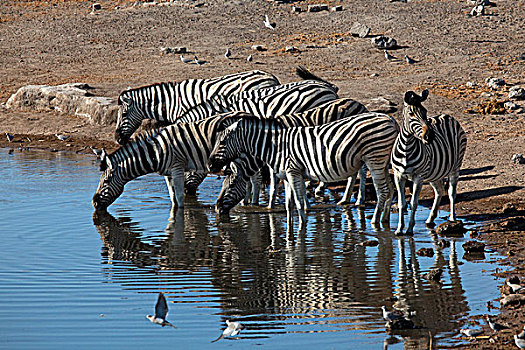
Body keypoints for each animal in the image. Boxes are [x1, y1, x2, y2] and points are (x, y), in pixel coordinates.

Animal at [92, 113, 248, 211]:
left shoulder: (177, 169)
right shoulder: (168, 174)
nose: (94, 203)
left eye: (106, 182)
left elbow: (179, 198)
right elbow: (173, 199)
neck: (155, 152)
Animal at [207, 113, 396, 232]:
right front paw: (290, 230)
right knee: (390, 190)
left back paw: (375, 221)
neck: (274, 146)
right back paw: (385, 220)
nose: (209, 165)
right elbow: (289, 205)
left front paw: (302, 227)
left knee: (382, 191)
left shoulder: (293, 172)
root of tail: (390, 119)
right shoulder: (287, 176)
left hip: (374, 158)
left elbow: (298, 202)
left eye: (222, 142)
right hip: (383, 162)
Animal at [211, 97, 370, 215]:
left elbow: (274, 186)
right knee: (353, 172)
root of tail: (358, 103)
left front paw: (270, 207)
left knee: (362, 171)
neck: (268, 141)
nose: (217, 209)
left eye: (231, 185)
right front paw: (305, 204)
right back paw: (345, 198)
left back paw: (359, 200)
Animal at [388, 89, 466, 235]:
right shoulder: (398, 175)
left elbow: (414, 203)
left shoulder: (418, 177)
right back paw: (430, 219)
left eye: (425, 111)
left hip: (455, 166)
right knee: (439, 191)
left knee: (451, 192)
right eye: (411, 114)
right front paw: (399, 229)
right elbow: (402, 203)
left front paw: (410, 229)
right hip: (434, 173)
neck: (406, 149)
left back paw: (452, 218)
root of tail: (448, 116)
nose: (430, 136)